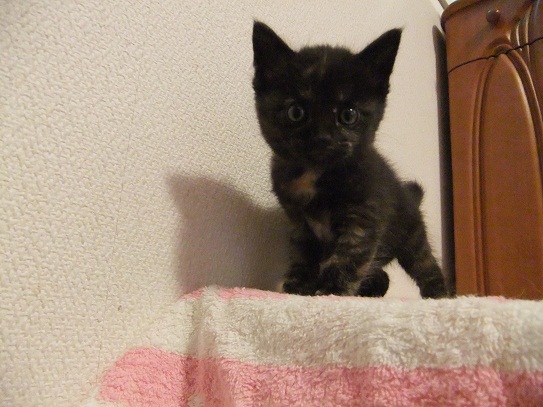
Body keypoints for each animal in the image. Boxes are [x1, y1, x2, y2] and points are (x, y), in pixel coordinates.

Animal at [252, 21, 448, 298]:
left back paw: (439, 295)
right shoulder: (298, 223)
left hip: (410, 233)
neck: (316, 174)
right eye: (296, 112)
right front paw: (297, 289)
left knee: (425, 263)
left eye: (348, 115)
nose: (322, 137)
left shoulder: (363, 216)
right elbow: (303, 256)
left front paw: (332, 291)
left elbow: (349, 258)